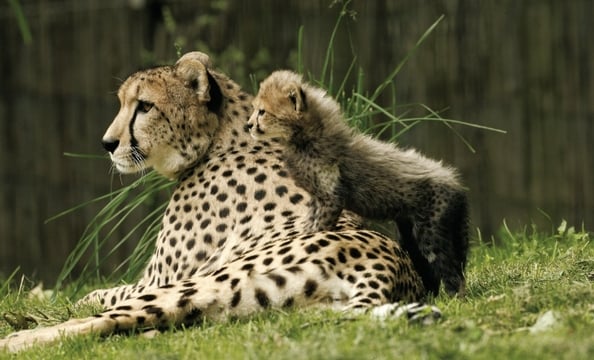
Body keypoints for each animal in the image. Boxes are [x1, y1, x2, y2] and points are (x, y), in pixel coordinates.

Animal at [1, 52, 440, 352]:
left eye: (144, 106)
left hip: (203, 284)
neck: (220, 137)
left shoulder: (158, 279)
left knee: (102, 321)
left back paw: (19, 338)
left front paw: (71, 298)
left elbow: (105, 292)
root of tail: (392, 271)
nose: (108, 143)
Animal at [246, 70, 468, 296]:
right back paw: (430, 295)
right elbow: (310, 222)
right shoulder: (318, 198)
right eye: (255, 109)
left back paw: (453, 296)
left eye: (262, 112)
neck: (305, 139)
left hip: (431, 232)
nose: (249, 125)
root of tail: (455, 182)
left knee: (449, 268)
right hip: (410, 233)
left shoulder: (331, 199)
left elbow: (320, 227)